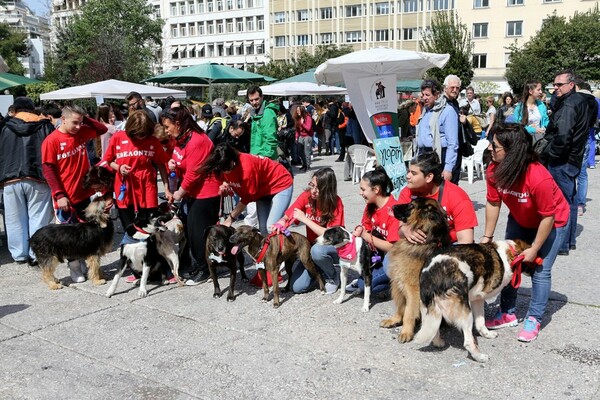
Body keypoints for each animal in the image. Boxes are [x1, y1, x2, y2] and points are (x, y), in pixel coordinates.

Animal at [380, 198, 450, 342]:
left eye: (411, 205)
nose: (393, 207)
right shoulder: (398, 283)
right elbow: (401, 306)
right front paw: (394, 320)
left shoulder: (413, 289)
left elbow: (408, 312)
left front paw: (406, 332)